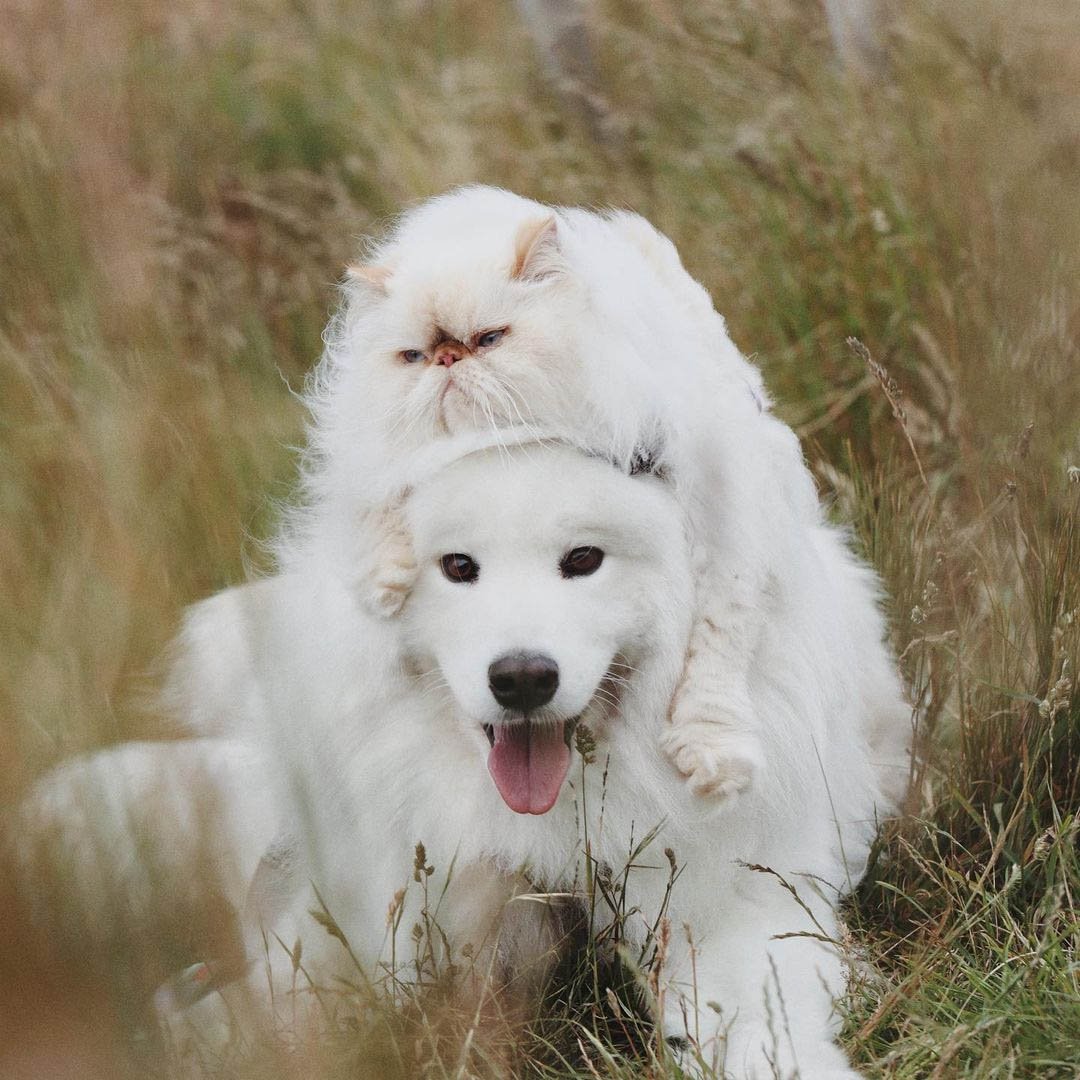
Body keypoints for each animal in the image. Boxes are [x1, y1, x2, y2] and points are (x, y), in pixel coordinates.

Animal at [274, 187, 812, 803]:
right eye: (414, 355)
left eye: (489, 339)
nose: (447, 359)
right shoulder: (376, 466)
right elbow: (378, 511)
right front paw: (384, 579)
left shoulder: (730, 513)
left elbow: (718, 644)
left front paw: (714, 755)